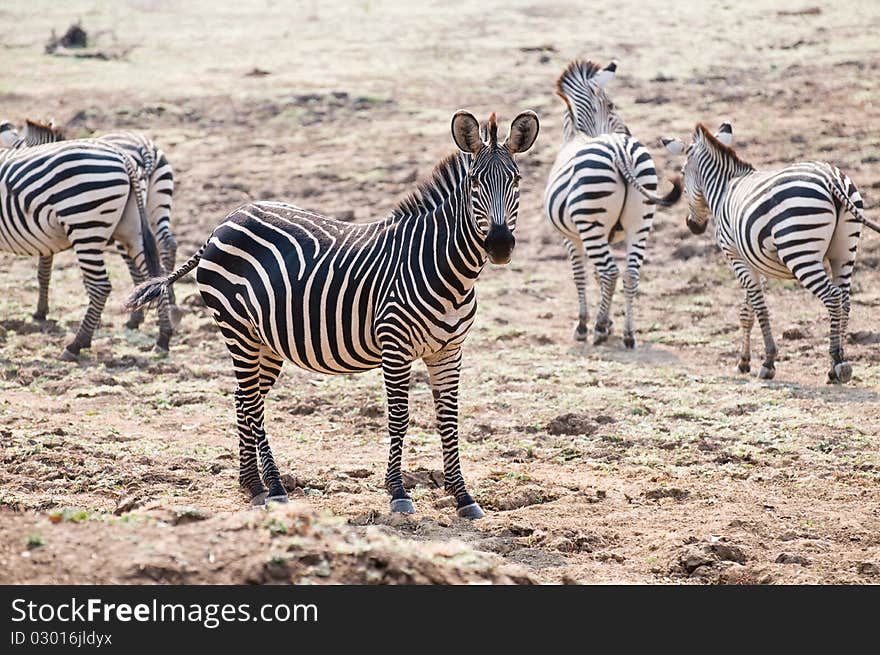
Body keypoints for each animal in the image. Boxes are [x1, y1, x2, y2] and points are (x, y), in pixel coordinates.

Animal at [0, 134, 174, 358]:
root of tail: (124, 156)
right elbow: (43, 272)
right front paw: (40, 312)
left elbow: (43, 272)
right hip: (132, 227)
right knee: (156, 274)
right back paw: (163, 337)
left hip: (84, 223)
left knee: (100, 286)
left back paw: (76, 344)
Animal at [126, 109, 540, 516]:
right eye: (474, 183)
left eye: (516, 180)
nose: (499, 245)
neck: (445, 270)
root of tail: (224, 223)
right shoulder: (395, 345)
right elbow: (399, 417)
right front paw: (398, 492)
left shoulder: (449, 351)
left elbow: (450, 420)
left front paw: (463, 496)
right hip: (238, 330)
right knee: (252, 404)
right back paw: (272, 487)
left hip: (265, 341)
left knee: (244, 399)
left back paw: (251, 484)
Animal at [544, 60, 680, 348]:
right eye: (612, 105)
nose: (627, 131)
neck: (578, 134)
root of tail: (621, 150)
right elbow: (596, 276)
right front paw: (608, 322)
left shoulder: (570, 237)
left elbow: (581, 275)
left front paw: (587, 323)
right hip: (640, 222)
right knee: (630, 273)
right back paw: (629, 334)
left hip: (591, 221)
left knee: (611, 272)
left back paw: (595, 330)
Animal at [660, 121, 872, 384]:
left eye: (681, 173)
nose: (693, 226)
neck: (724, 188)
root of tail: (830, 178)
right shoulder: (752, 261)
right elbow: (747, 311)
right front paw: (743, 361)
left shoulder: (735, 257)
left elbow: (759, 307)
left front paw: (767, 362)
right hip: (844, 252)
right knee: (844, 299)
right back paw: (837, 363)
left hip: (800, 253)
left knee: (832, 297)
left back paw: (837, 360)